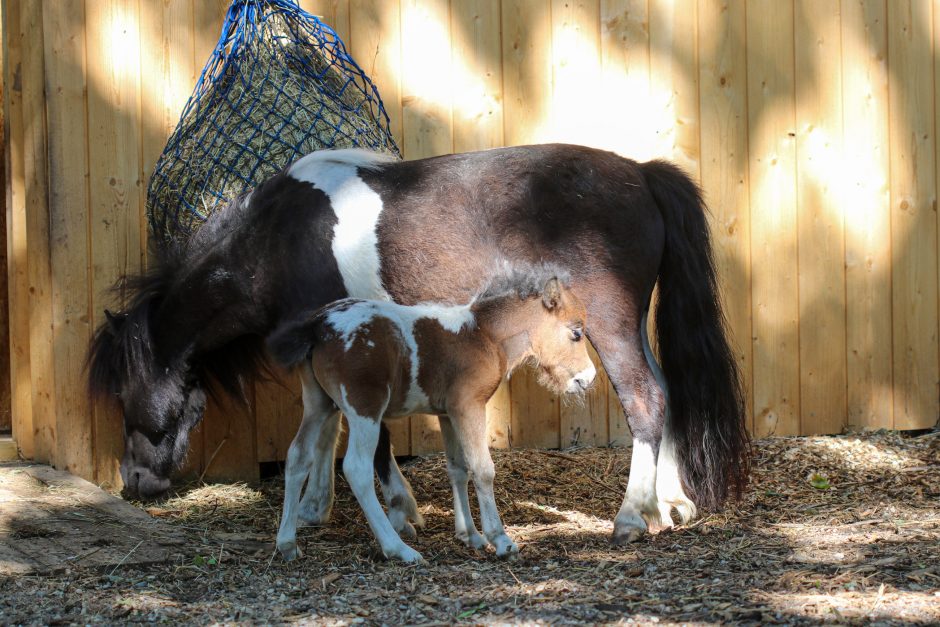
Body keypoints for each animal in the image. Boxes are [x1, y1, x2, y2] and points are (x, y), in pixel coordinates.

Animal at [270, 268, 596, 560]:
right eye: (576, 332)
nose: (589, 378)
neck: (483, 335)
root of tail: (318, 324)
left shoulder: (447, 414)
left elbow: (457, 468)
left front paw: (470, 536)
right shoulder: (469, 407)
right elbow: (482, 469)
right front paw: (500, 540)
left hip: (319, 403)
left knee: (298, 455)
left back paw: (287, 544)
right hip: (364, 410)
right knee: (356, 468)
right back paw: (399, 549)